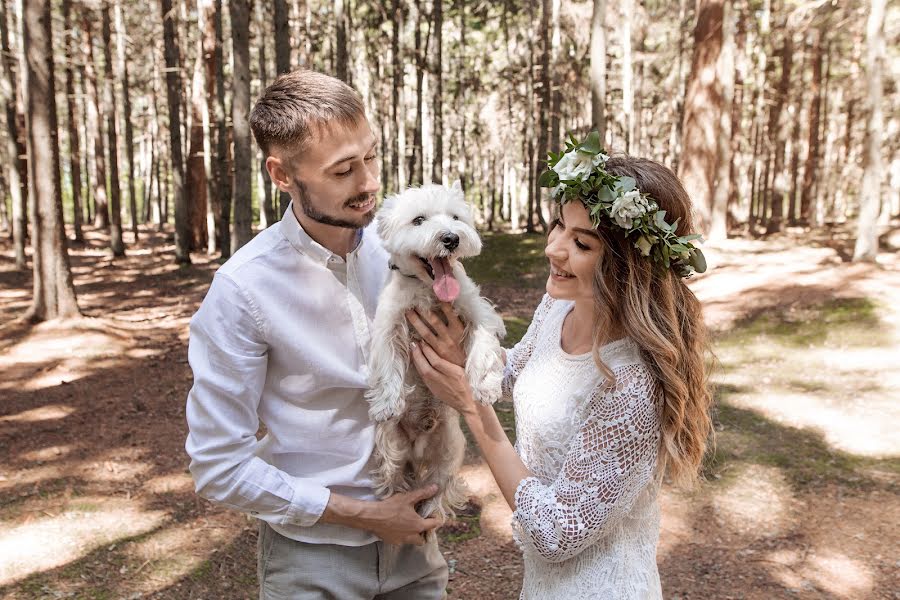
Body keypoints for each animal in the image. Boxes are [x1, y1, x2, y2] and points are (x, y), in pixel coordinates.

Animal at [366, 180, 506, 524]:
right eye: (418, 220)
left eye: (456, 217)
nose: (451, 238)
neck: (427, 289)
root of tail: (418, 447)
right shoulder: (389, 325)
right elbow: (387, 364)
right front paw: (387, 403)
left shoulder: (477, 311)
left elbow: (484, 346)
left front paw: (485, 387)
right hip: (390, 443)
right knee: (393, 472)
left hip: (451, 446)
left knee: (441, 485)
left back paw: (431, 510)